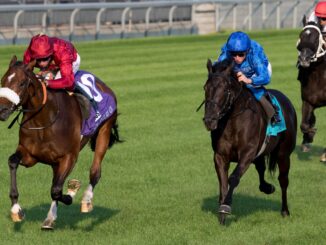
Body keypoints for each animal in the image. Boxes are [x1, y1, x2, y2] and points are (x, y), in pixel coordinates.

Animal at [0, 56, 120, 230]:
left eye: (22, 83)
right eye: (2, 80)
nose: (2, 110)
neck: (44, 120)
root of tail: (102, 84)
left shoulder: (69, 157)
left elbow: (56, 190)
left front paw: (72, 191)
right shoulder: (30, 155)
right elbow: (12, 161)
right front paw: (16, 209)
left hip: (104, 130)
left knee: (95, 171)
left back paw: (86, 200)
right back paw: (50, 218)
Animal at [204, 58, 298, 224]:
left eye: (224, 89)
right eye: (205, 88)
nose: (209, 120)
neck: (232, 121)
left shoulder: (247, 153)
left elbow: (233, 178)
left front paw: (225, 207)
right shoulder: (220, 156)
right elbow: (223, 181)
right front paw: (221, 213)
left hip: (283, 154)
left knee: (283, 180)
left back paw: (285, 210)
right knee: (261, 168)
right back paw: (267, 187)